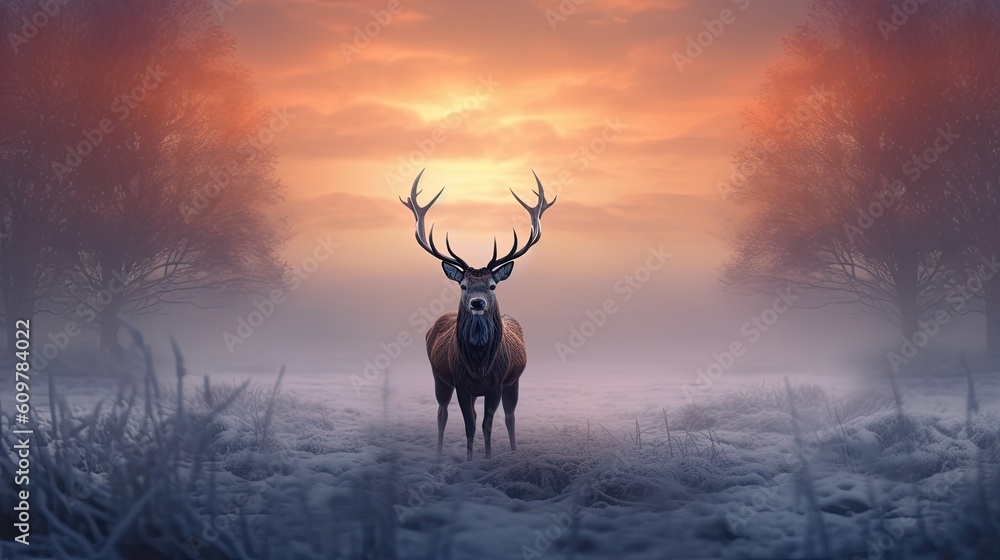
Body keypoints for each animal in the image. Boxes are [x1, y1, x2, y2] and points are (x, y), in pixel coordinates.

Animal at [400, 169, 555, 460]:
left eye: (492, 285)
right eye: (463, 285)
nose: (477, 302)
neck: (479, 365)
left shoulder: (497, 383)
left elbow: (486, 423)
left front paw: (489, 458)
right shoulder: (461, 382)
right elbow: (470, 424)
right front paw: (471, 461)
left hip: (513, 382)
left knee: (510, 416)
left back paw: (514, 450)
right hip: (439, 376)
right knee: (442, 412)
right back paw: (438, 455)